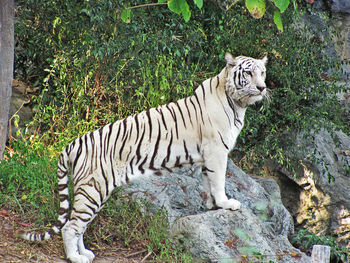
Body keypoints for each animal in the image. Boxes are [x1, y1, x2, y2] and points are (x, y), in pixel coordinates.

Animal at [19, 52, 268, 262]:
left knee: (80, 224)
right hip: (93, 188)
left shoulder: (207, 156)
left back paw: (85, 253)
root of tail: (73, 143)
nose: (262, 87)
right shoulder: (216, 150)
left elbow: (208, 182)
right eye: (248, 73)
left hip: (94, 191)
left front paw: (211, 206)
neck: (237, 102)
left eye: (262, 72)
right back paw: (75, 258)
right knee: (70, 227)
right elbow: (218, 180)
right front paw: (226, 203)